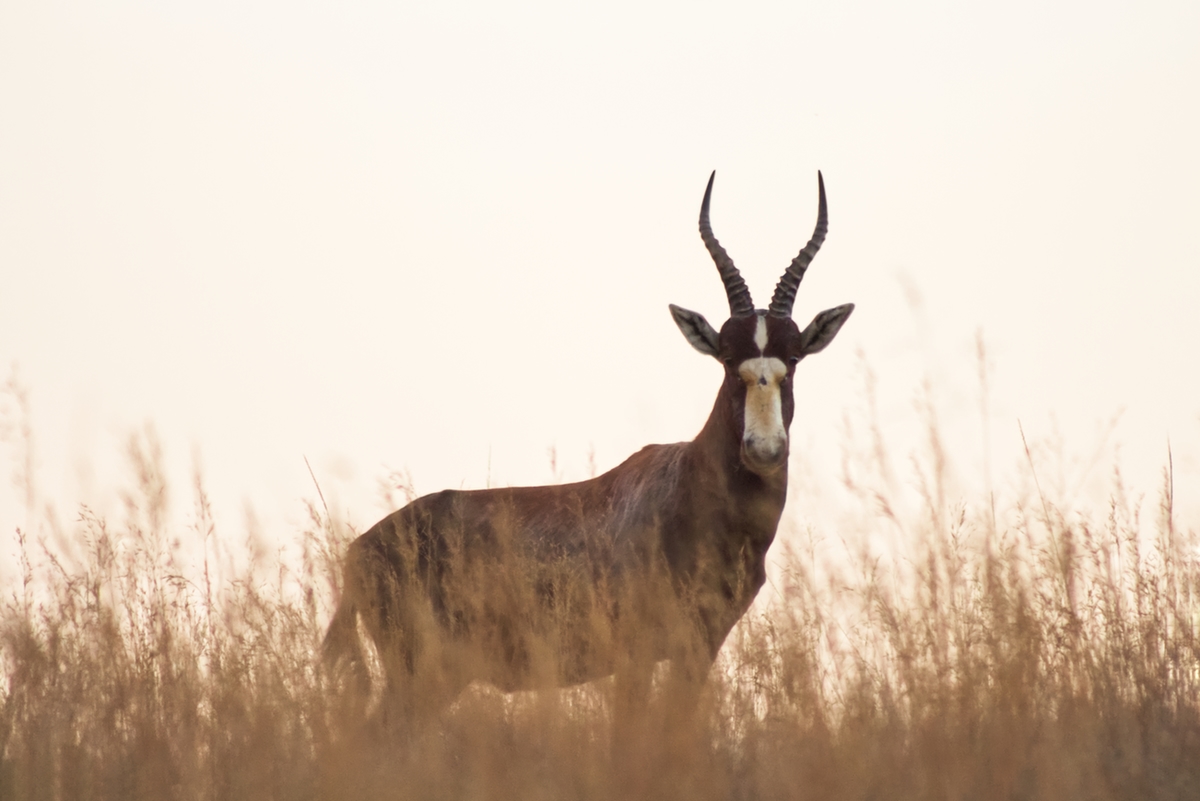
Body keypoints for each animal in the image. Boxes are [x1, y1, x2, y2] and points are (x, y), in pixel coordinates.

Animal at [323, 172, 854, 723]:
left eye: (794, 358)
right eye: (728, 359)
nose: (764, 449)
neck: (685, 485)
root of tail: (357, 551)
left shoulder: (698, 648)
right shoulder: (636, 653)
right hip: (422, 674)